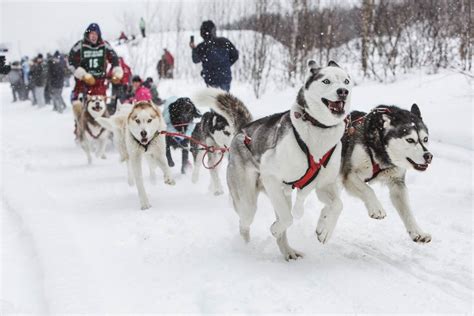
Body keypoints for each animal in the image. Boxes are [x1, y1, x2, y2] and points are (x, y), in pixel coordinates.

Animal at [204, 61, 352, 260]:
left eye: (346, 81)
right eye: (326, 81)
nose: (343, 91)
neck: (318, 130)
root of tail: (243, 129)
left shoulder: (324, 185)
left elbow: (338, 205)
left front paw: (324, 228)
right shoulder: (271, 176)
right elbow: (287, 218)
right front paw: (275, 228)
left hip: (281, 195)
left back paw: (289, 252)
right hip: (249, 201)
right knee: (245, 224)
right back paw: (246, 247)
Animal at [340, 105, 434, 243]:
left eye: (425, 139)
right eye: (410, 140)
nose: (428, 156)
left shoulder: (397, 183)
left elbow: (407, 210)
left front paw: (418, 232)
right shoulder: (349, 175)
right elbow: (368, 189)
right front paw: (376, 208)